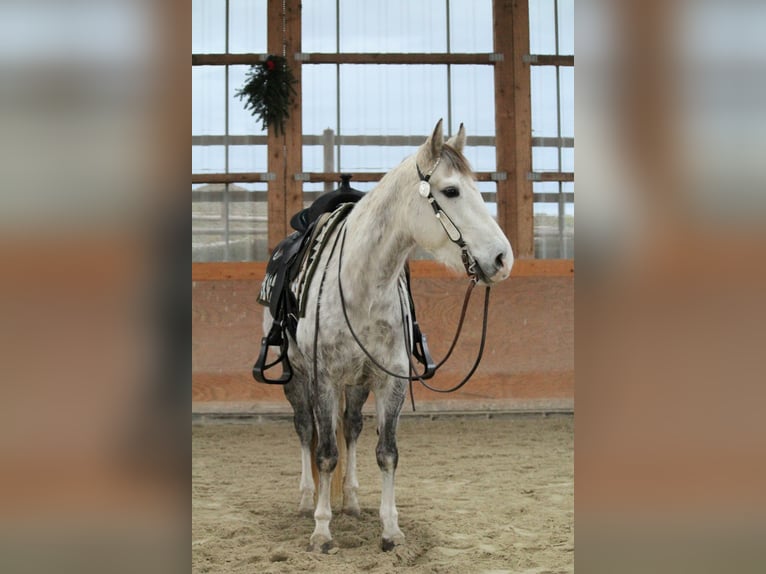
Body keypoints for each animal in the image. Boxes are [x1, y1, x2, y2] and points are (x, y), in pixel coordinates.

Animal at [266, 120, 516, 552]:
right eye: (451, 191)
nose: (502, 259)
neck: (362, 285)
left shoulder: (390, 380)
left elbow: (386, 452)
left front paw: (390, 529)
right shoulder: (323, 378)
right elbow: (325, 453)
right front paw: (321, 530)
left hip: (357, 383)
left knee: (351, 427)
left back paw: (350, 501)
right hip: (296, 378)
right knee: (305, 430)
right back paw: (305, 499)